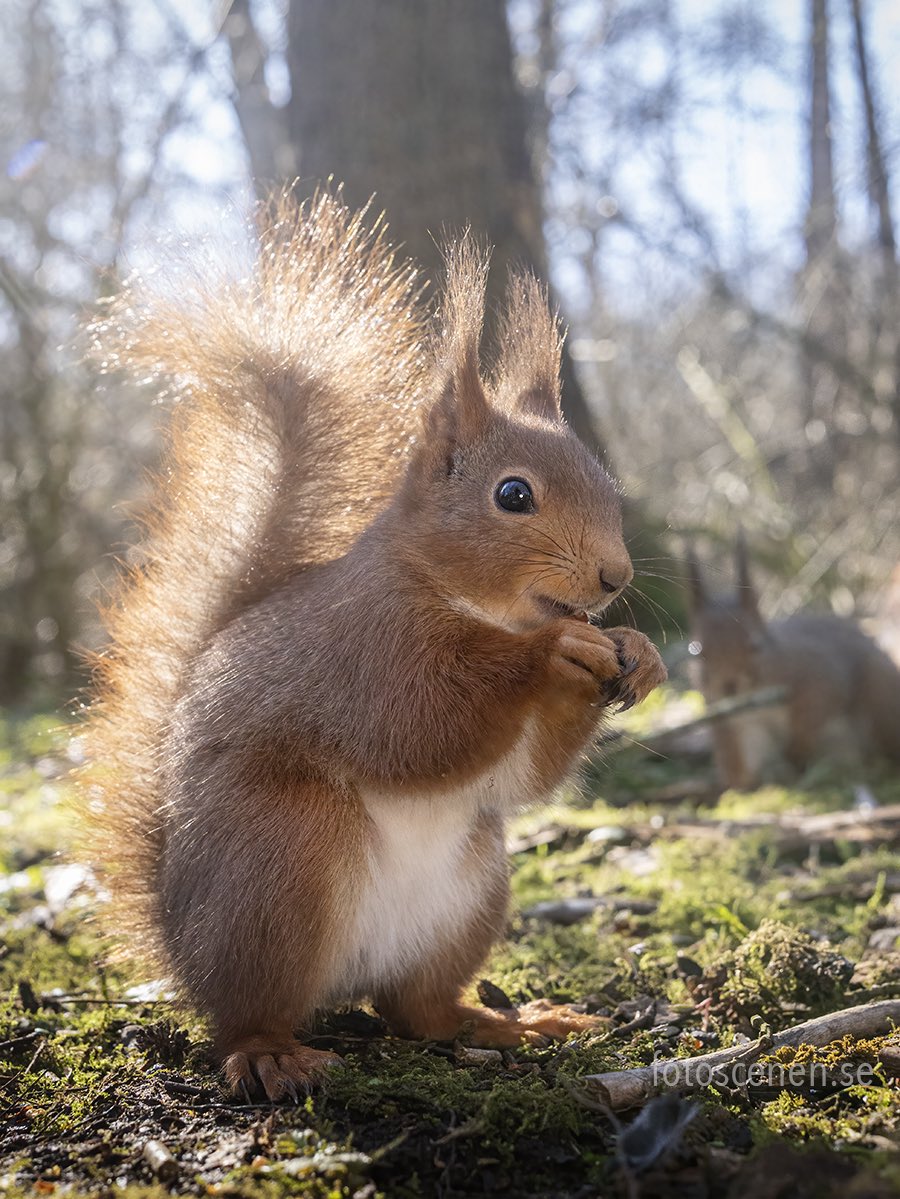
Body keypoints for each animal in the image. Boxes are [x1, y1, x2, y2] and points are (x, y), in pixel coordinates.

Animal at [81, 191, 667, 1101]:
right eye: (513, 495)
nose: (615, 576)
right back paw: (272, 1054)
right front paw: (553, 652)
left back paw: (505, 1021)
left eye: (607, 483)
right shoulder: (362, 651)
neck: (464, 599)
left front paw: (637, 650)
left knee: (414, 1010)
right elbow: (417, 725)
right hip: (278, 865)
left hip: (470, 893)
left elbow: (520, 776)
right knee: (246, 1015)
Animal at [686, 535, 900, 791]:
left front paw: (797, 748)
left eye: (755, 645)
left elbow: (816, 708)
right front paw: (739, 784)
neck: (756, 700)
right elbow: (738, 758)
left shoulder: (816, 675)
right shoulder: (732, 720)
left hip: (879, 701)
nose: (729, 686)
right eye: (696, 651)